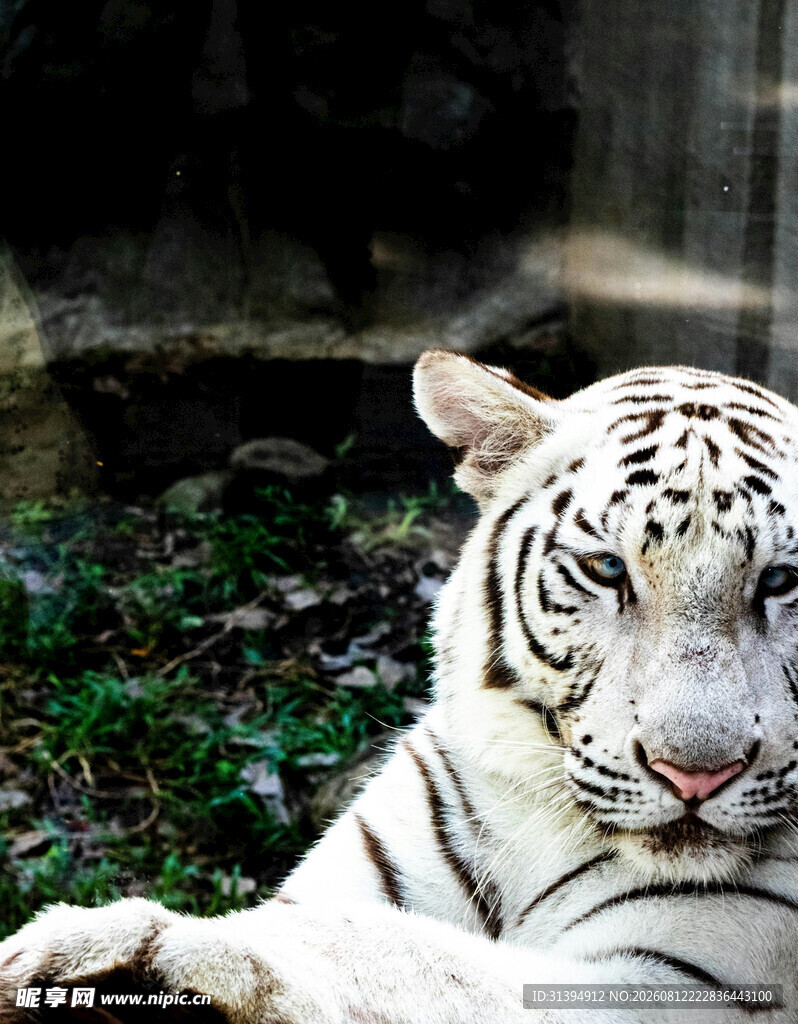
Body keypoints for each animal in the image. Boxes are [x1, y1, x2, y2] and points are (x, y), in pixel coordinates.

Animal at [3, 350, 798, 1024]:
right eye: (607, 569)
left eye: (782, 581)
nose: (694, 774)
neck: (545, 830)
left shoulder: (666, 980)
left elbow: (395, 953)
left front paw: (111, 946)